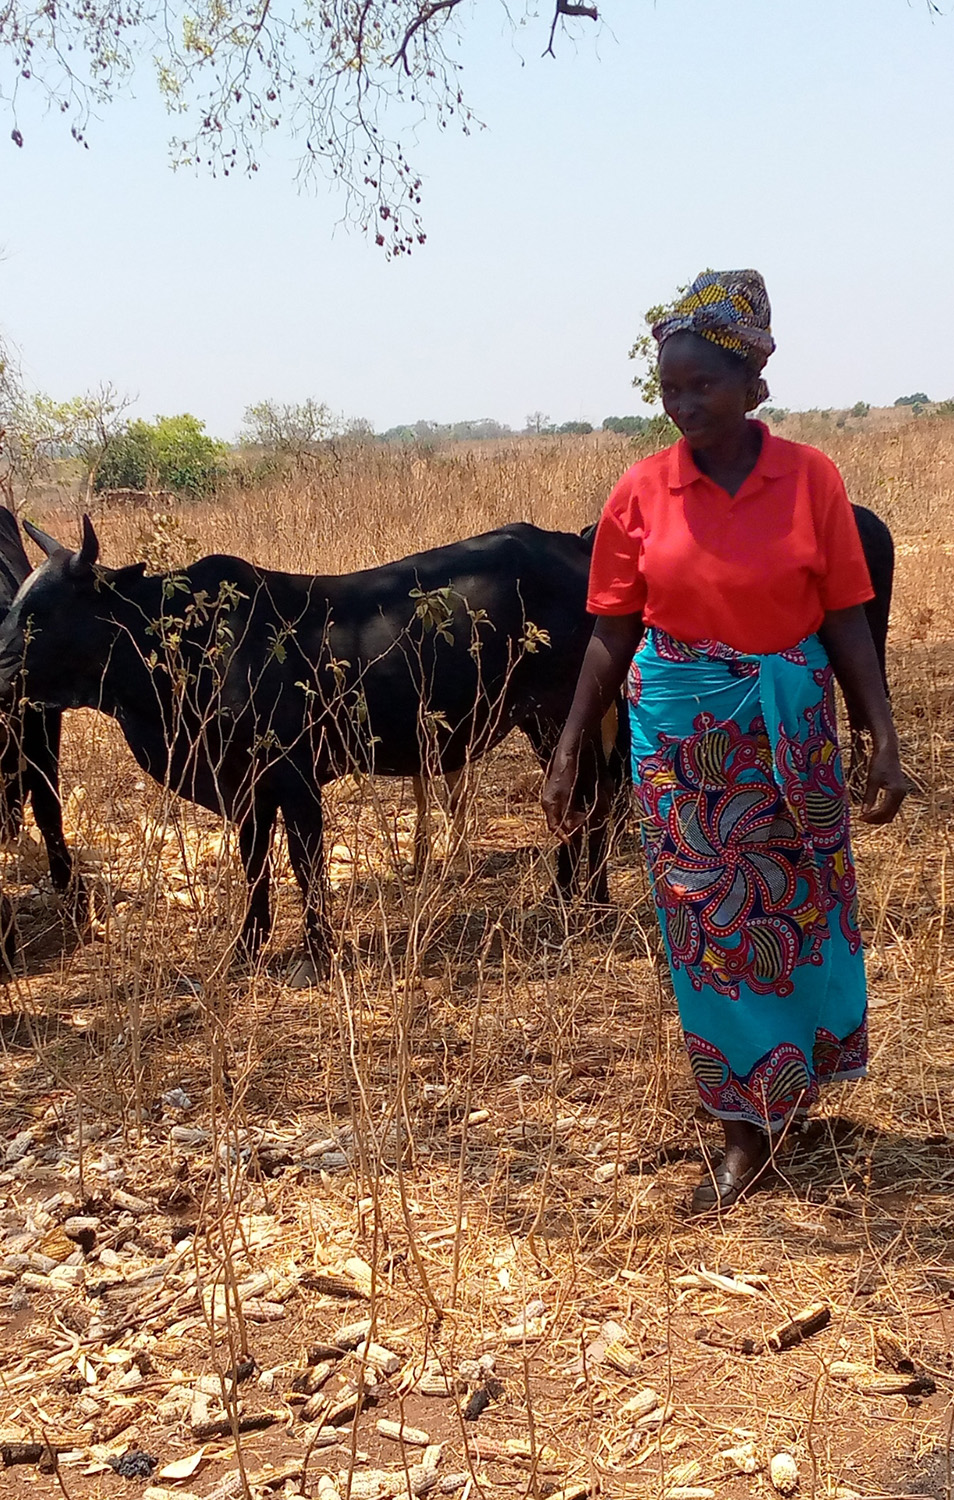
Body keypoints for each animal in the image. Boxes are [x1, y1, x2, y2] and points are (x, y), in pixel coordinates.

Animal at [0, 516, 615, 984]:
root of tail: (574, 543)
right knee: (580, 802)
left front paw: (319, 952)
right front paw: (247, 949)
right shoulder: (245, 791)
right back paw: (572, 897)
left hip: (559, 717)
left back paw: (585, 901)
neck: (188, 646)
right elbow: (255, 869)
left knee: (588, 802)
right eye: (16, 607)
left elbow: (306, 868)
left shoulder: (295, 781)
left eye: (39, 615)